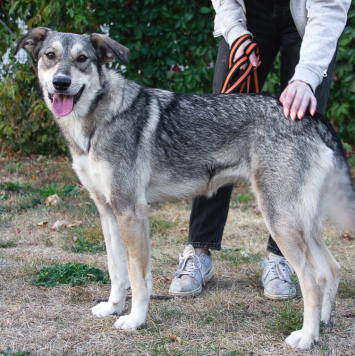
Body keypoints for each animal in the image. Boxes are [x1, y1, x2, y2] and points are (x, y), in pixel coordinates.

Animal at [15, 28, 355, 350]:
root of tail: (312, 115)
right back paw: (321, 327)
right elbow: (116, 272)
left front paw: (135, 320)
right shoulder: (108, 212)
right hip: (304, 225)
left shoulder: (131, 212)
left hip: (280, 220)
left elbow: (139, 279)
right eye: (50, 56)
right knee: (332, 270)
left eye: (82, 59)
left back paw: (306, 337)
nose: (60, 83)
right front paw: (113, 307)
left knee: (314, 280)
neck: (97, 122)